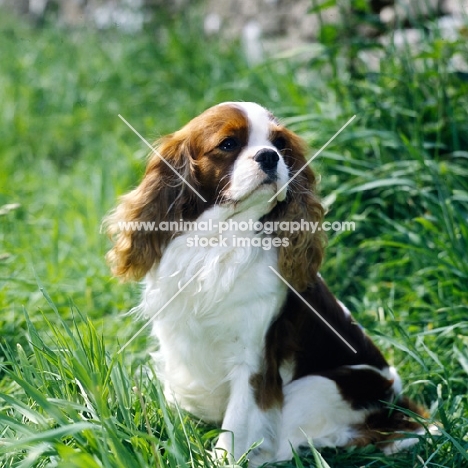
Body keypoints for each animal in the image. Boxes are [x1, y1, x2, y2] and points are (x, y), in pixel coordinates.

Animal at [105, 101, 432, 464]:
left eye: (280, 144)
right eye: (228, 144)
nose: (269, 156)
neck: (222, 238)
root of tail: (398, 405)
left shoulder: (254, 362)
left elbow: (237, 426)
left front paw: (219, 460)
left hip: (317, 387)